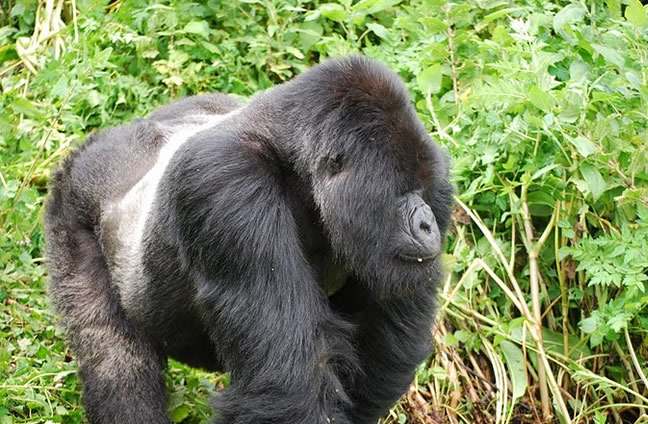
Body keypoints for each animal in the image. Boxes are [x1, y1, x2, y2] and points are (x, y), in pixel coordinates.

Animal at [44, 56, 450, 424]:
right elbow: (289, 388)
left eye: (423, 189)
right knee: (115, 362)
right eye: (401, 191)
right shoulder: (225, 185)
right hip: (72, 200)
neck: (291, 157)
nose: (428, 223)